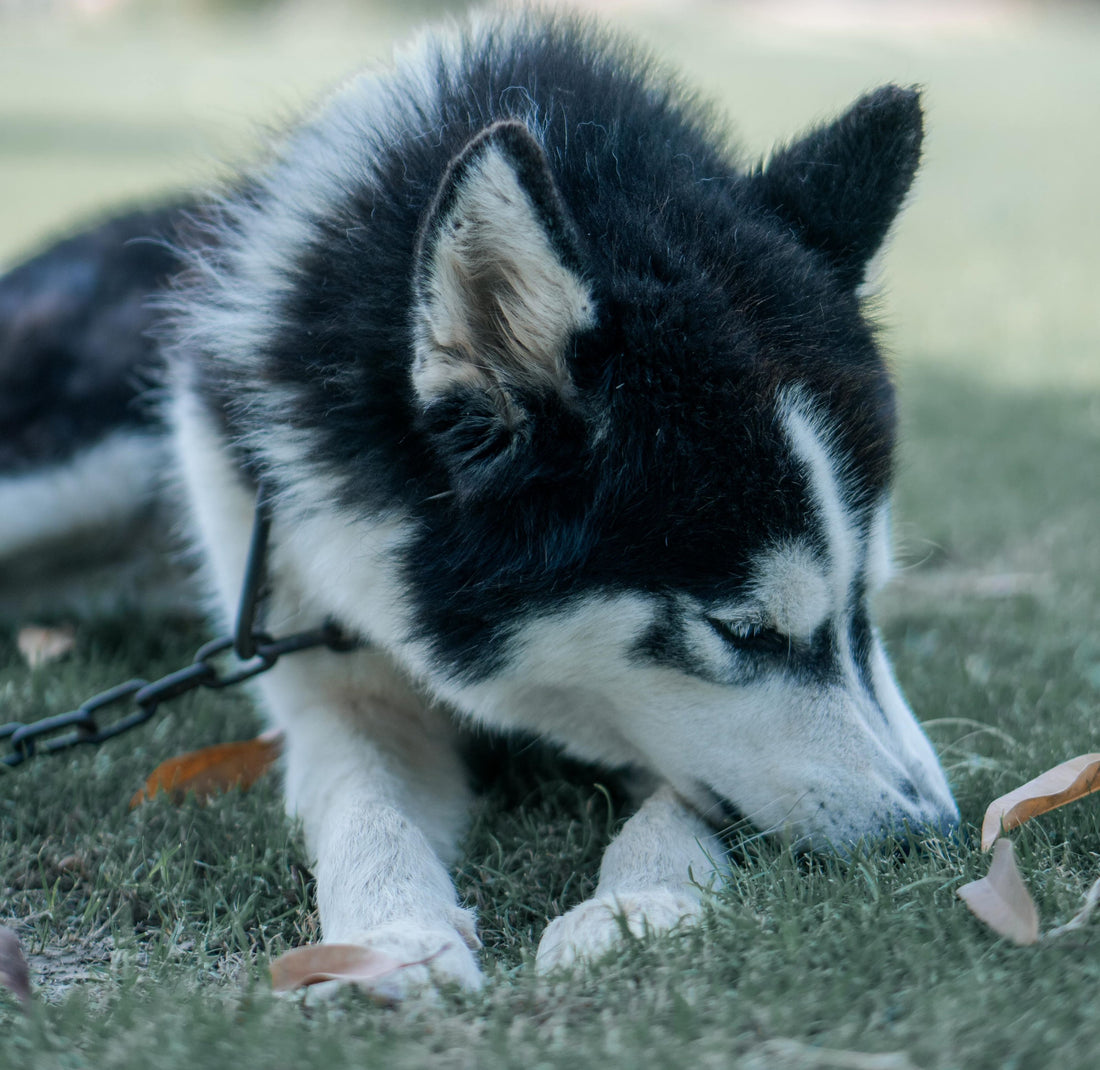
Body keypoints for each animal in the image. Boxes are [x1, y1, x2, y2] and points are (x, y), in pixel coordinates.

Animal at [4, 10, 959, 994]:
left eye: (863, 604)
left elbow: (686, 792)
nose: (930, 835)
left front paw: (640, 901)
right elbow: (364, 801)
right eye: (743, 631)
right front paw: (388, 935)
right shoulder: (318, 640)